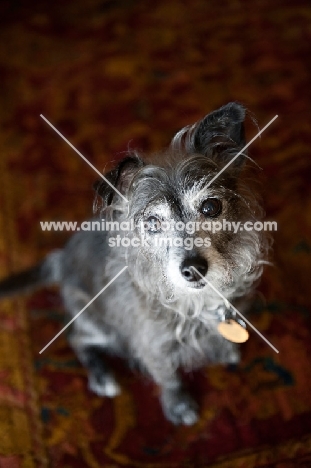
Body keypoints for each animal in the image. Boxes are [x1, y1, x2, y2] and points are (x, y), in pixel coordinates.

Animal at [0, 102, 268, 424]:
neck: (196, 303)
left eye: (211, 207)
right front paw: (179, 406)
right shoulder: (152, 345)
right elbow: (168, 376)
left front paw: (225, 350)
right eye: (152, 222)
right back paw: (102, 376)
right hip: (99, 325)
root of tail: (61, 259)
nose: (193, 269)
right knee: (77, 338)